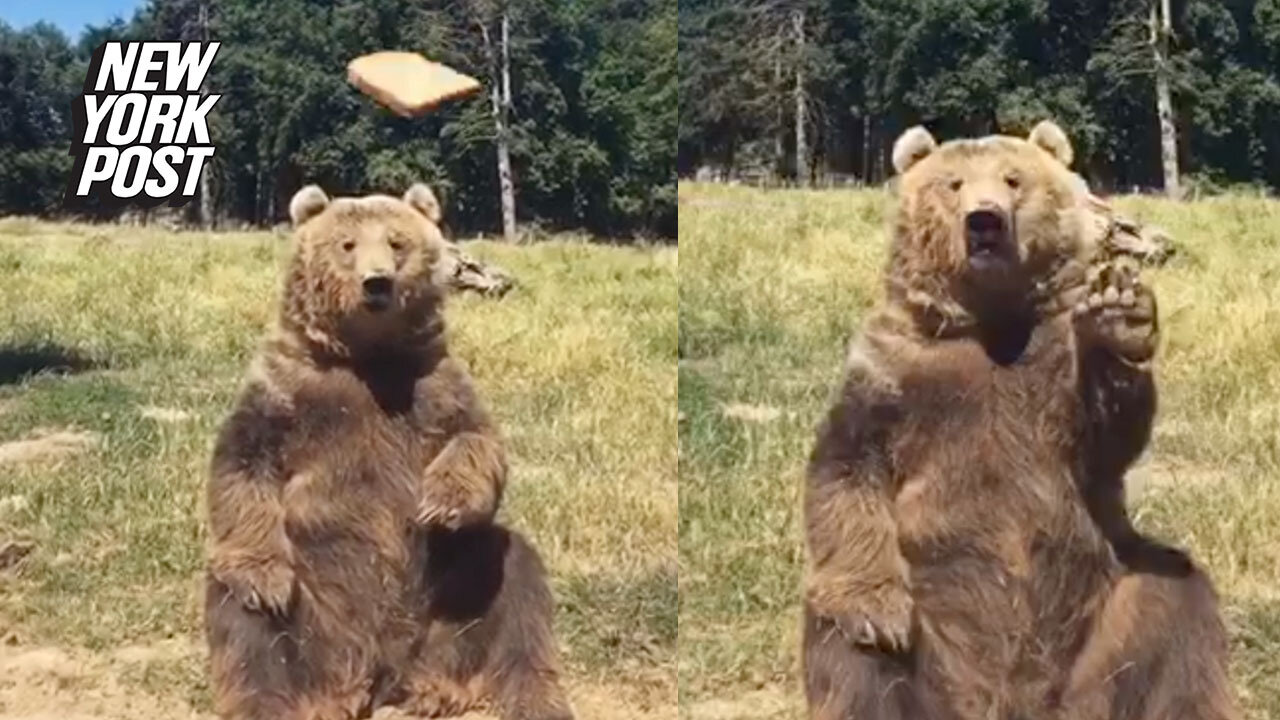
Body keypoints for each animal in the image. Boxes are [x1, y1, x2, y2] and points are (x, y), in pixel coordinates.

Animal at [206, 183, 576, 717]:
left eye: (397, 242)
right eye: (347, 245)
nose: (376, 283)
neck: (368, 357)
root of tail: (380, 676)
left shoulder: (431, 383)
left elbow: (476, 441)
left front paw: (441, 503)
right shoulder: (287, 392)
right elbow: (244, 463)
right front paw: (265, 581)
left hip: (448, 601)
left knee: (515, 583)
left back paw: (520, 696)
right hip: (316, 617)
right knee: (245, 630)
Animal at [803, 122, 1233, 717]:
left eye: (1013, 179)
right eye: (954, 184)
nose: (984, 220)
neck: (993, 320)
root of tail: (1014, 704)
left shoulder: (1052, 369)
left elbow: (1106, 437)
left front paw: (1120, 315)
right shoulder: (896, 374)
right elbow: (848, 467)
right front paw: (877, 613)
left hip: (1107, 614)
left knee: (1176, 608)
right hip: (931, 641)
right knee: (846, 659)